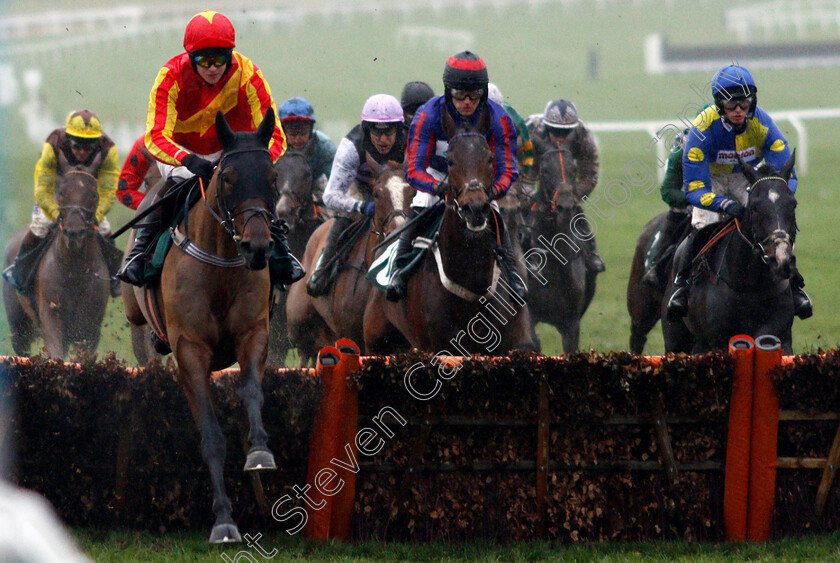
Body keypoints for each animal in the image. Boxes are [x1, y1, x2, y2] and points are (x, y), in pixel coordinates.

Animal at [121, 109, 280, 540]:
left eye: (272, 177)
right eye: (227, 178)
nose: (258, 248)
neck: (222, 263)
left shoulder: (253, 332)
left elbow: (252, 391)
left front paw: (260, 452)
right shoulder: (190, 351)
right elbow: (210, 436)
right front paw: (223, 520)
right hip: (136, 314)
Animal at [524, 140, 596, 352]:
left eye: (573, 169)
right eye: (545, 170)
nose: (565, 207)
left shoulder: (571, 323)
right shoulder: (529, 312)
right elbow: (533, 343)